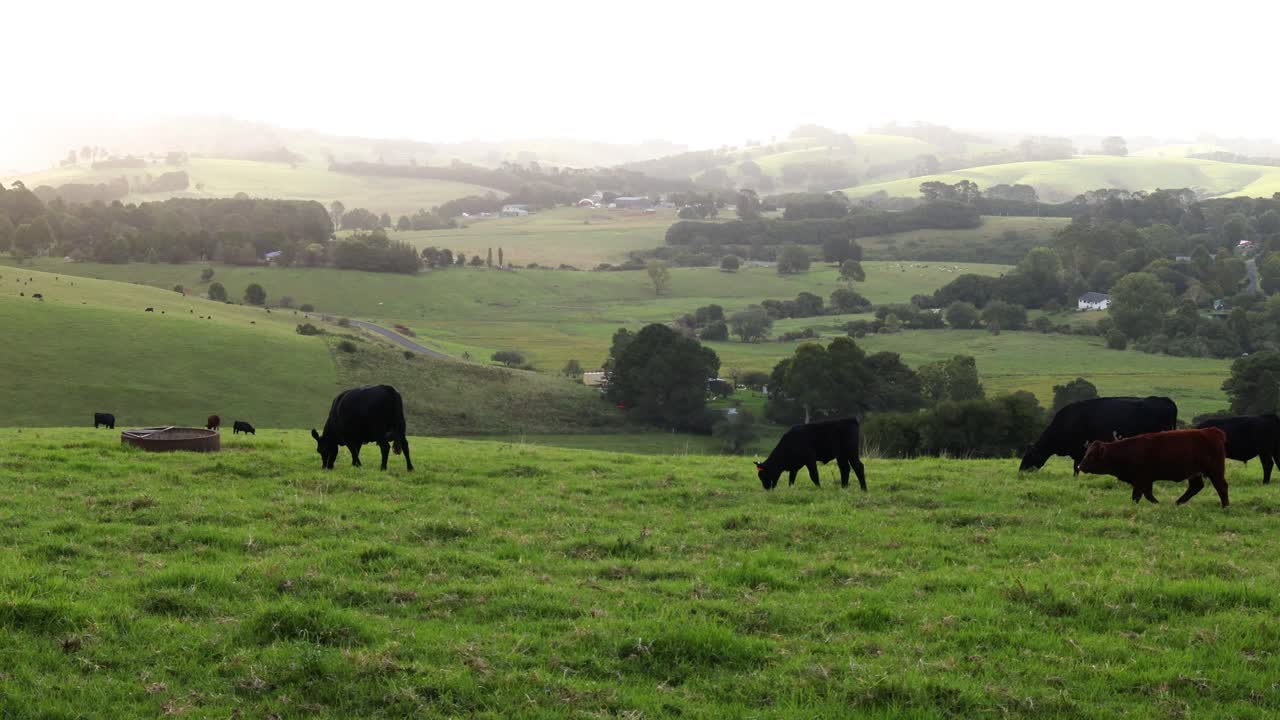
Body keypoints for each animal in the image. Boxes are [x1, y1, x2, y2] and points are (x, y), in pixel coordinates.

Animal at [1078, 428, 1229, 507]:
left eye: (1091, 455)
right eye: (1087, 452)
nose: (1080, 466)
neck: (1125, 451)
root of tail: (1211, 431)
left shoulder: (1141, 480)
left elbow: (1139, 495)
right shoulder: (1145, 481)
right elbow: (1147, 494)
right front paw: (1157, 503)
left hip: (1215, 471)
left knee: (1221, 486)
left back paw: (1225, 506)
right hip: (1195, 473)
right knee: (1195, 487)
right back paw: (1178, 502)